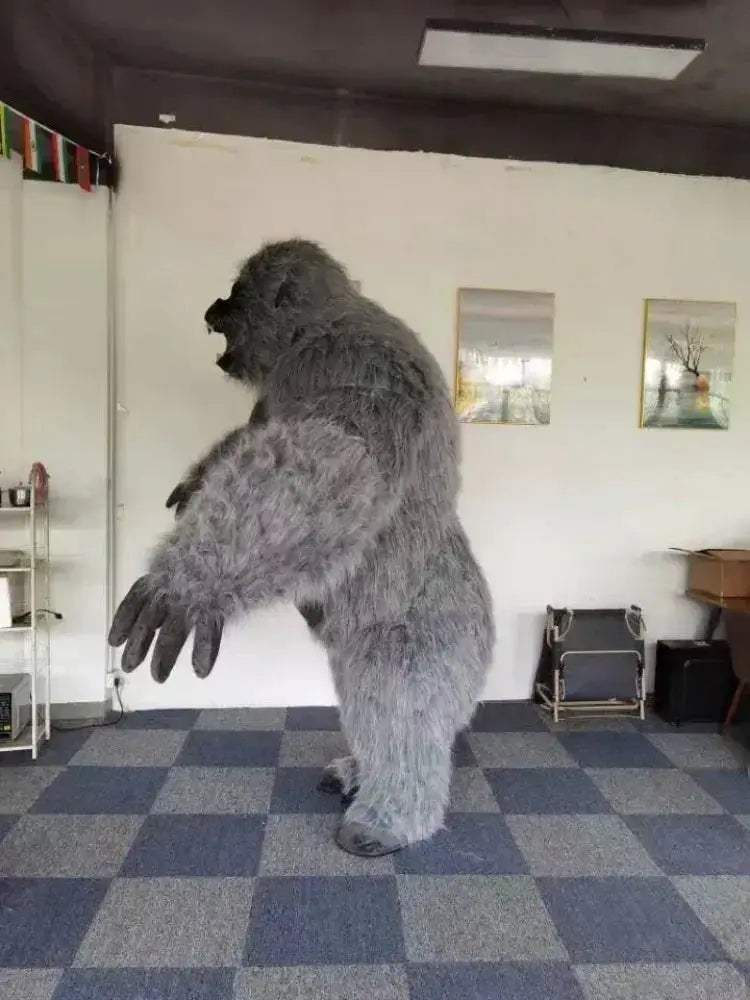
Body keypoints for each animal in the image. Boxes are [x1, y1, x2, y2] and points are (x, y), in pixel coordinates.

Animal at [109, 239, 495, 856]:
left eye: (237, 294)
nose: (213, 307)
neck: (316, 324)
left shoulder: (352, 359)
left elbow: (342, 452)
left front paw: (192, 579)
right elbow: (252, 442)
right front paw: (200, 483)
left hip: (429, 633)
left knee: (400, 708)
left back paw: (388, 817)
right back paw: (359, 772)